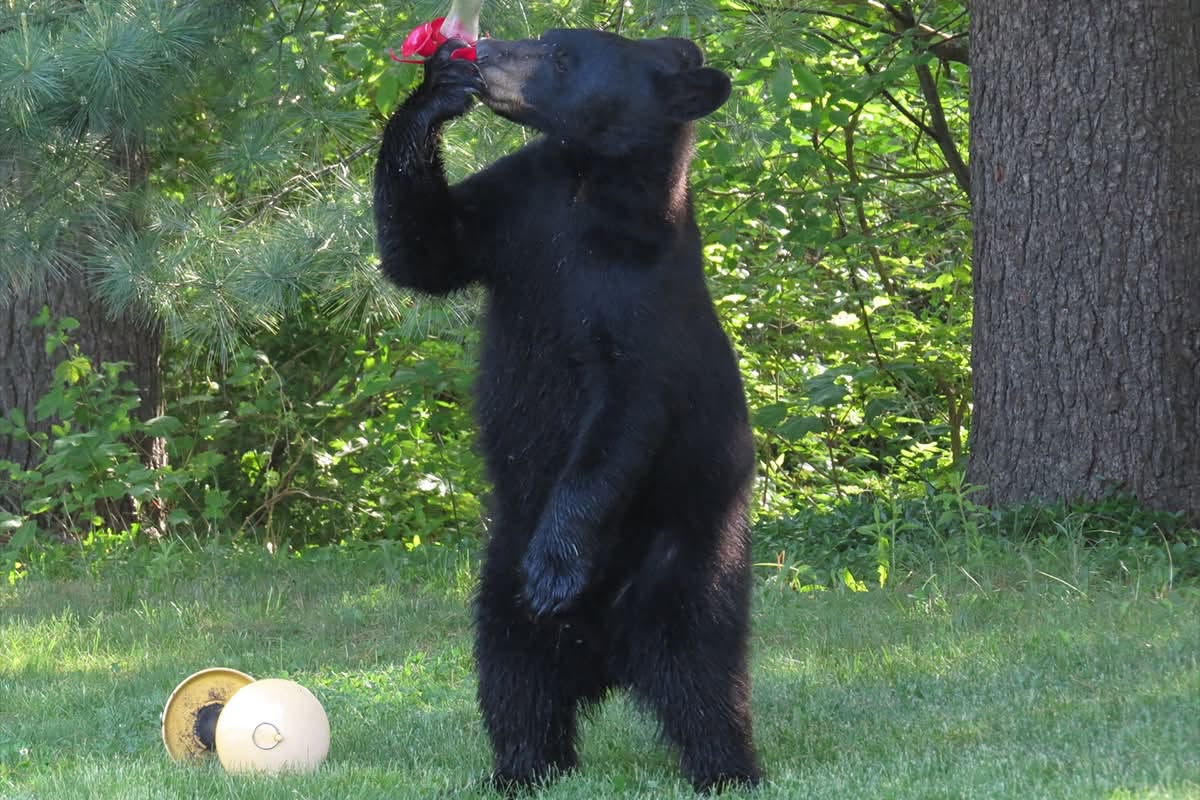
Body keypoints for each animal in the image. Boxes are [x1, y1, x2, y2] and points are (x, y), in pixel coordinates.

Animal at [373, 29, 760, 793]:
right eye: (549, 39)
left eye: (560, 55)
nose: (488, 53)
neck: (589, 187)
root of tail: (606, 656)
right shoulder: (518, 209)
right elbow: (427, 249)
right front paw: (436, 88)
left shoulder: (642, 301)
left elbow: (622, 418)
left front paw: (556, 566)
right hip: (499, 575)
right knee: (512, 675)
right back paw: (521, 768)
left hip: (689, 557)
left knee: (700, 671)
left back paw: (727, 768)